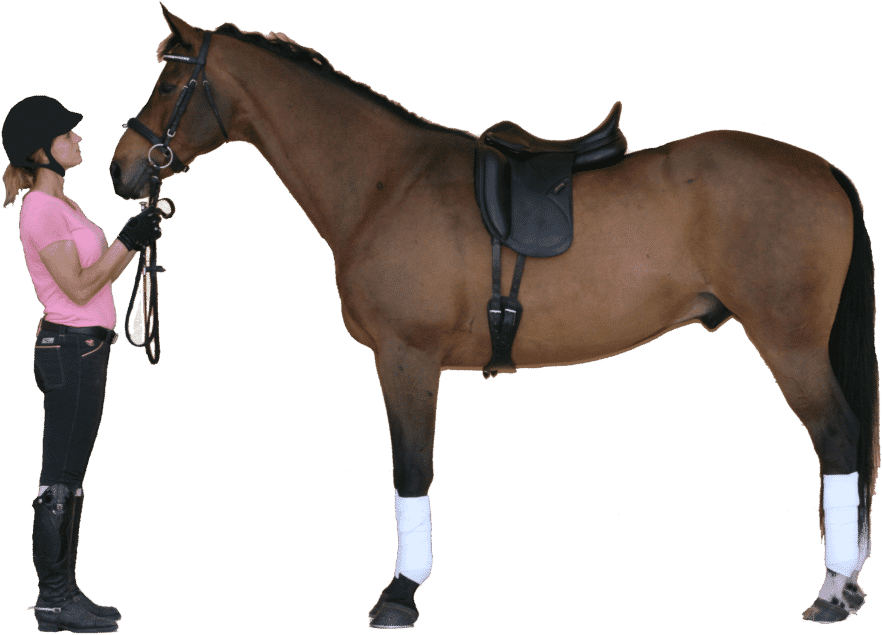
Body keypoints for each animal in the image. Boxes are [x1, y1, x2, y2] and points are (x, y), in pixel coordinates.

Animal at [110, 5, 878, 627]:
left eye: (169, 84)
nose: (122, 169)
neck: (387, 183)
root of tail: (823, 170)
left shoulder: (407, 357)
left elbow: (411, 468)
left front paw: (399, 593)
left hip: (790, 342)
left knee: (838, 439)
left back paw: (832, 593)